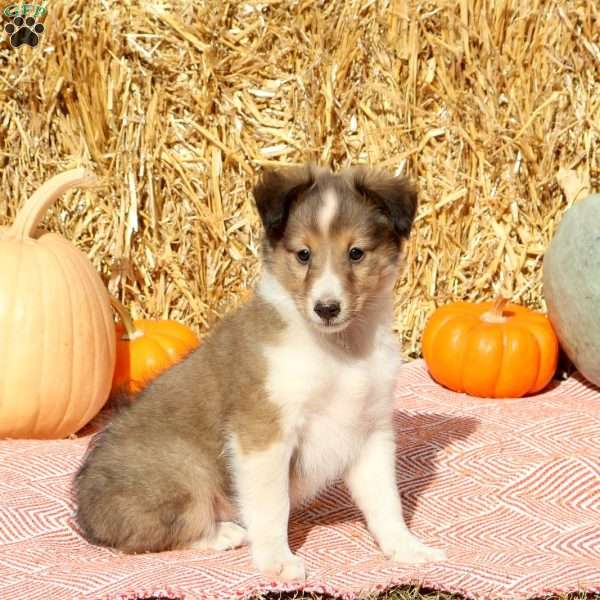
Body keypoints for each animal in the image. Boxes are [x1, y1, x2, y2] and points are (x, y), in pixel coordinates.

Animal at [75, 162, 446, 580]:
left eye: (356, 253)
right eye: (303, 254)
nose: (327, 308)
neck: (339, 350)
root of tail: (84, 511)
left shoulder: (370, 430)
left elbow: (386, 502)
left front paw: (408, 549)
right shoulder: (264, 432)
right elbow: (272, 506)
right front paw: (278, 562)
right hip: (183, 466)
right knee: (148, 536)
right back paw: (223, 533)